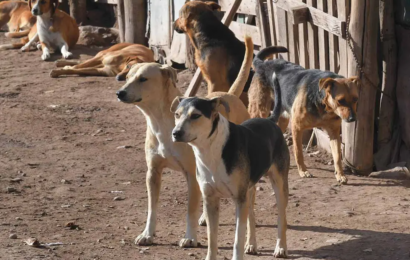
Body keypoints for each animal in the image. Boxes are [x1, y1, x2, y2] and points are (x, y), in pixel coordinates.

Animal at [113, 36, 253, 248]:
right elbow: (152, 208)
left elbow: (190, 210)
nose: (119, 93)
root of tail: (229, 95)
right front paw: (147, 234)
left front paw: (190, 237)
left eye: (143, 79)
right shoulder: (153, 173)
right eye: (128, 77)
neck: (161, 122)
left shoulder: (192, 175)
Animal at [171, 46, 290, 258]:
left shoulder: (239, 200)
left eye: (196, 115)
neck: (211, 151)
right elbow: (212, 239)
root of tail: (270, 120)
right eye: (177, 115)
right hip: (249, 190)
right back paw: (252, 245)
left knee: (281, 219)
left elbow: (236, 239)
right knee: (252, 215)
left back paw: (281, 248)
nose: (175, 133)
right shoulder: (211, 200)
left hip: (279, 185)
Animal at [248, 46, 360, 185]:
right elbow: (298, 152)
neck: (323, 105)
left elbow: (338, 156)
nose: (352, 119)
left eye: (355, 99)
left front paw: (340, 175)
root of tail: (263, 64)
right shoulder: (297, 128)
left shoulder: (334, 133)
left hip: (282, 118)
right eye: (341, 100)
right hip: (259, 110)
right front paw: (303, 171)